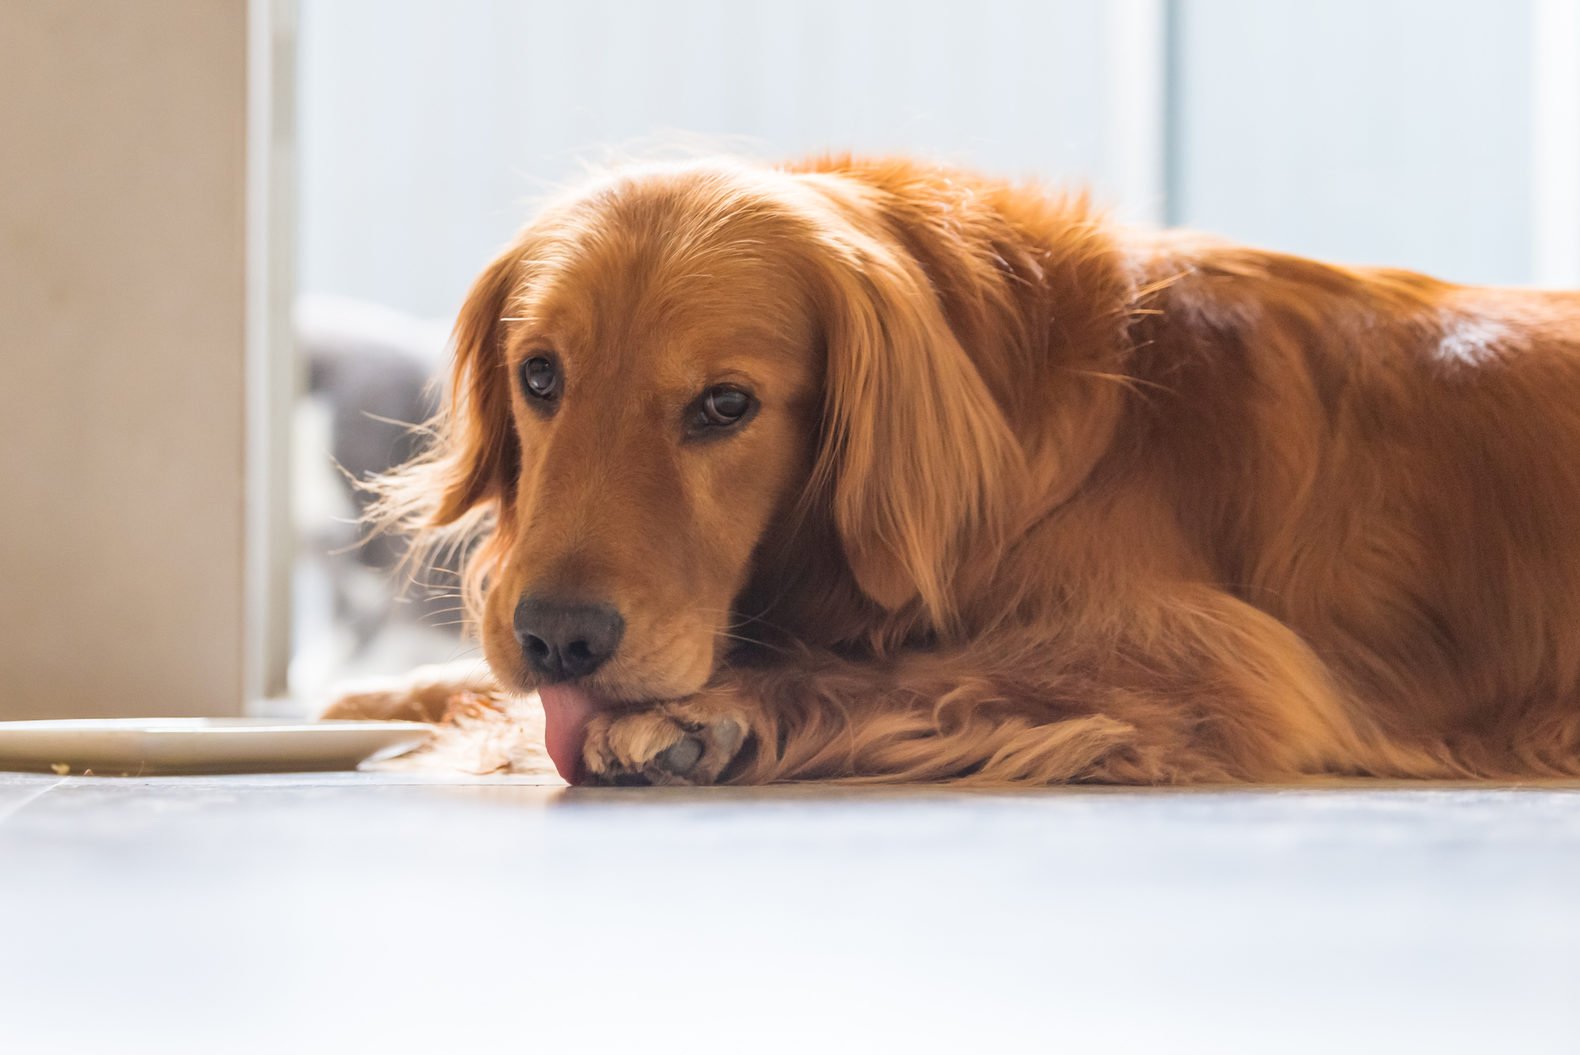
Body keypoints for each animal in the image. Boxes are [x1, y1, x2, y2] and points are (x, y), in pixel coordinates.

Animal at [327, 154, 1580, 783]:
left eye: (725, 404)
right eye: (539, 376)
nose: (557, 639)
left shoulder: (1215, 652)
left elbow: (927, 666)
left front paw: (704, 713)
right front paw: (402, 691)